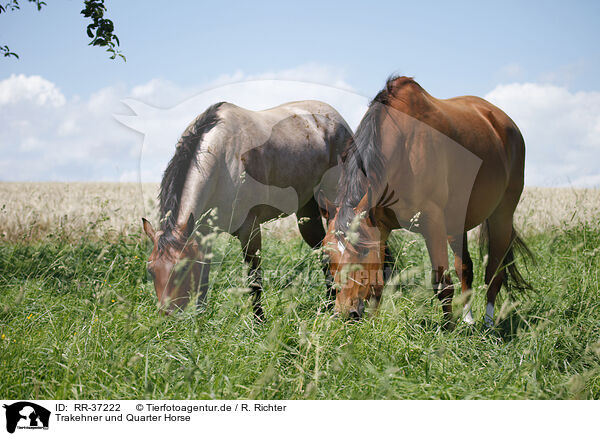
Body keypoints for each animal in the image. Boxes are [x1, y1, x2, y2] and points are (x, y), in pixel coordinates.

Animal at [142, 100, 350, 318]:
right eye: (151, 270)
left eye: (182, 269)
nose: (167, 317)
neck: (222, 159)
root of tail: (336, 118)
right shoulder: (204, 234)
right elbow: (203, 279)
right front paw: (201, 317)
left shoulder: (250, 230)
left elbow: (254, 279)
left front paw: (259, 320)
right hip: (307, 210)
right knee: (323, 250)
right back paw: (329, 304)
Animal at [322, 76, 532, 328]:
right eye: (328, 254)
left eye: (362, 251)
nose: (344, 314)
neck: (402, 148)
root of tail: (503, 122)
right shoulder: (381, 227)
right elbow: (378, 286)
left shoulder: (433, 226)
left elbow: (442, 284)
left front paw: (448, 330)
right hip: (456, 223)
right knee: (465, 268)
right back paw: (469, 320)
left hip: (502, 215)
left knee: (494, 273)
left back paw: (488, 325)